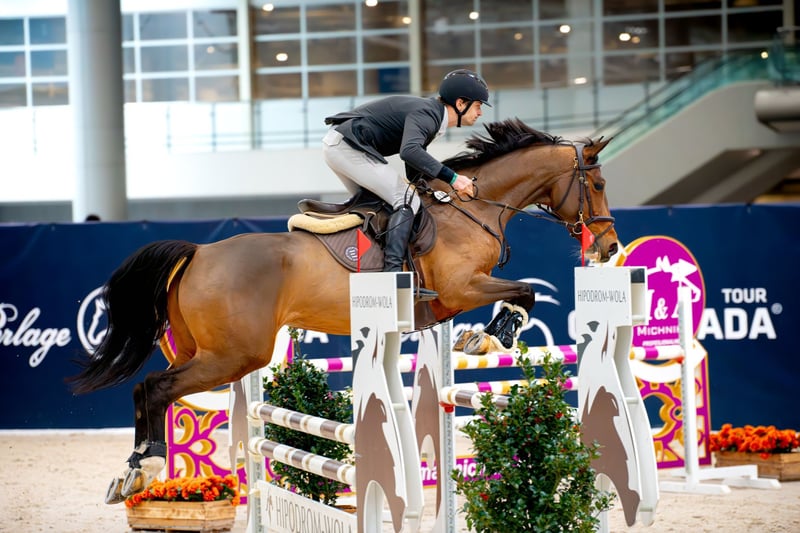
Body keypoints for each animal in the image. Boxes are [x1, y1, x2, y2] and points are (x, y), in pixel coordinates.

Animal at [67, 118, 619, 504]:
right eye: (597, 185)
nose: (609, 247)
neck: (473, 208)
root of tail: (199, 252)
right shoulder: (462, 289)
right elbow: (523, 291)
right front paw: (490, 336)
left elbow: (520, 290)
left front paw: (480, 336)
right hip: (235, 355)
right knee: (155, 388)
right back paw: (146, 468)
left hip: (204, 351)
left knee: (147, 388)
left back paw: (130, 473)